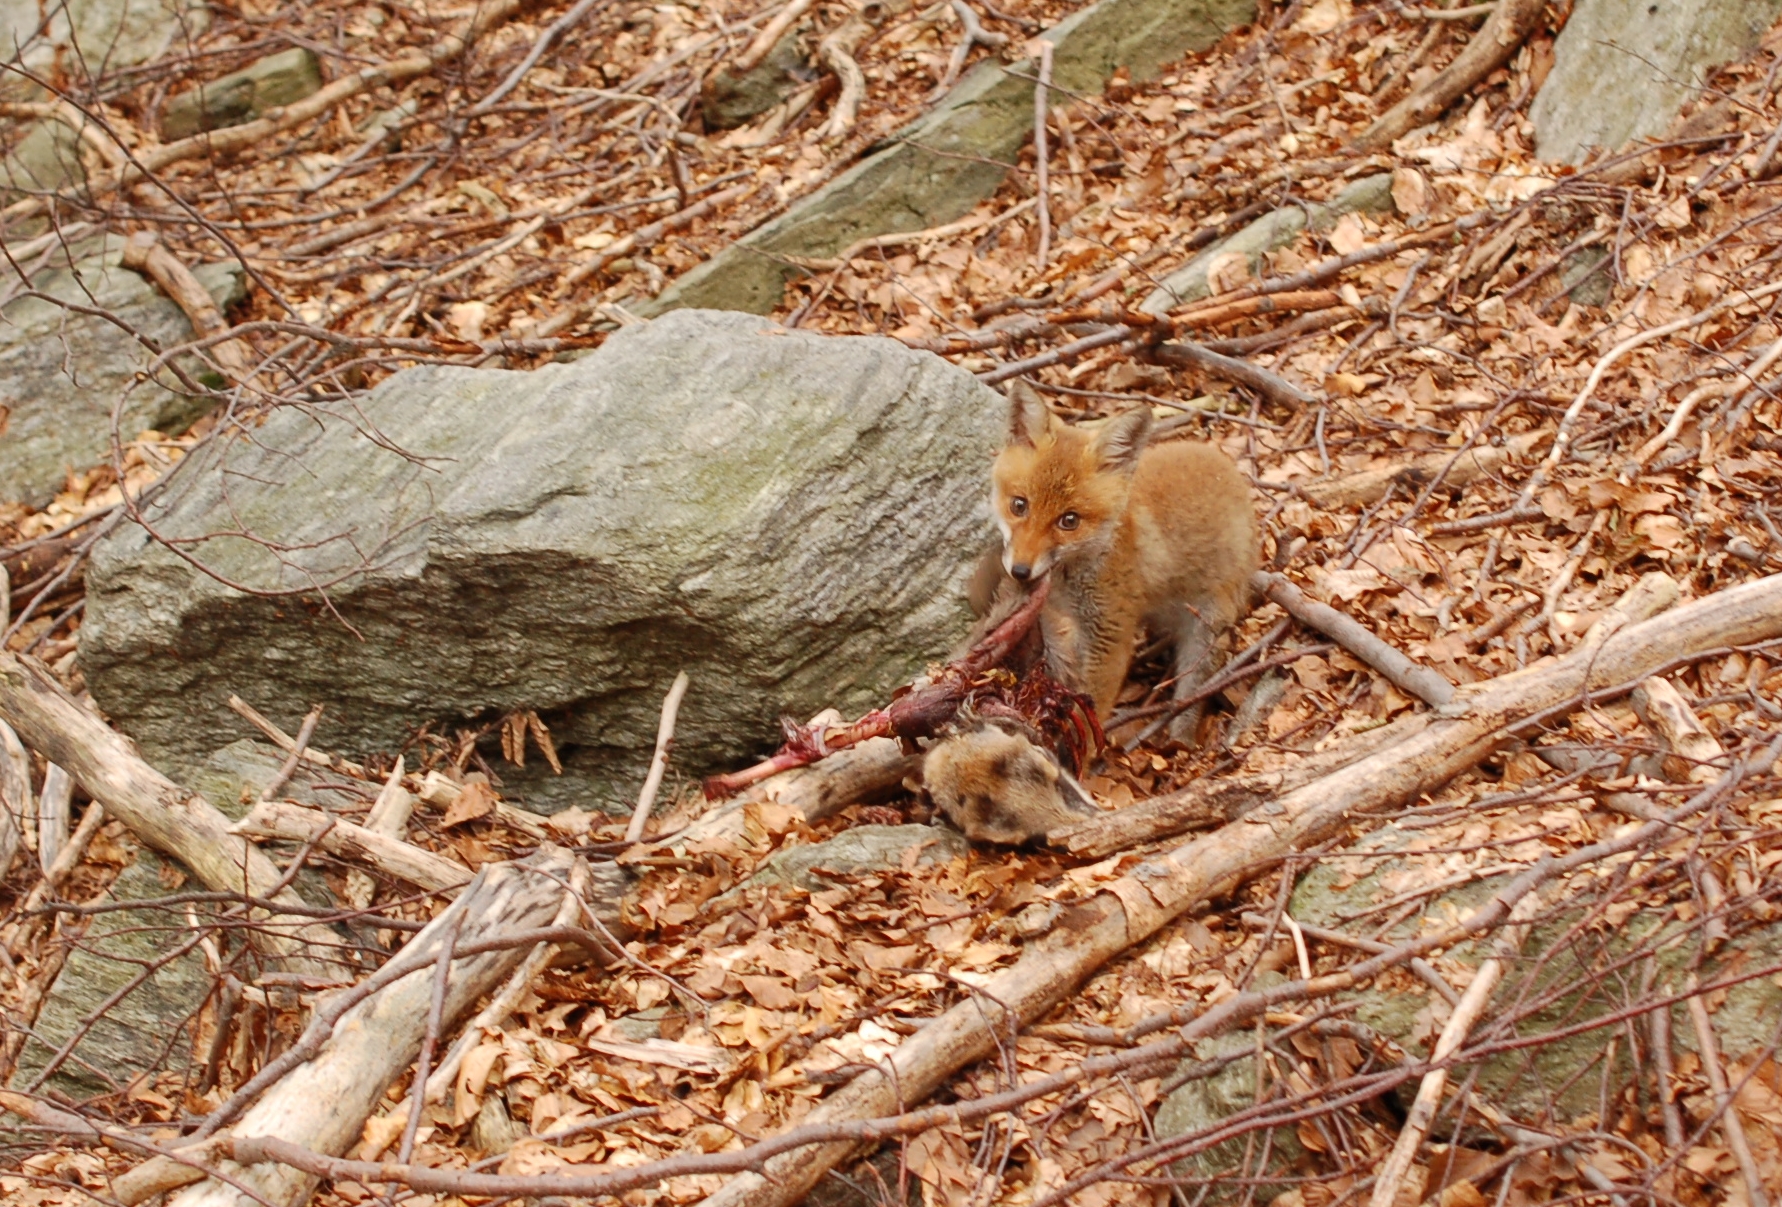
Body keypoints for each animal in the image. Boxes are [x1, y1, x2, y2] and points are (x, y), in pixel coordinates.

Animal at [924, 381, 1258, 844]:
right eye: (1019, 505)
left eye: (1069, 520)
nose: (1021, 571)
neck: (1072, 577)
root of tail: (1224, 464)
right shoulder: (1053, 621)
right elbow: (1056, 681)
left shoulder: (1109, 635)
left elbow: (1090, 711)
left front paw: (1077, 762)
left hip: (1205, 630)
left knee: (1193, 690)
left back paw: (1180, 738)